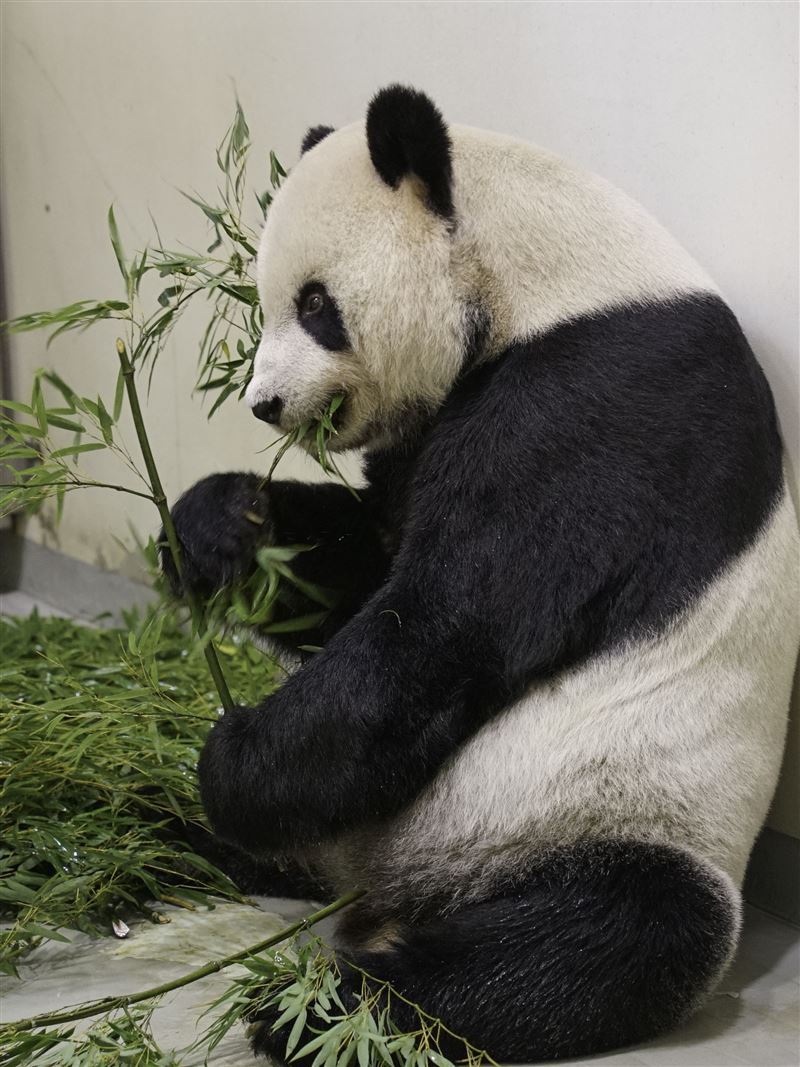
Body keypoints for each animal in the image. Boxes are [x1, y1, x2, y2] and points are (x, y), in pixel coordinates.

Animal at [167, 87, 800, 1062]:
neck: (544, 275)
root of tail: (397, 896)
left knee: (610, 935)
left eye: (314, 304)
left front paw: (234, 757)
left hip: (617, 814)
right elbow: (366, 566)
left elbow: (443, 625)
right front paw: (219, 524)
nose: (265, 403)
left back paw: (326, 1007)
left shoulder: (600, 404)